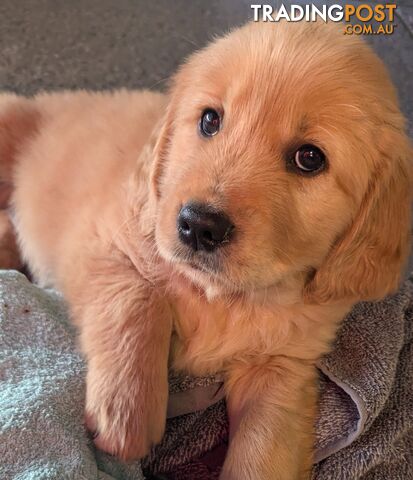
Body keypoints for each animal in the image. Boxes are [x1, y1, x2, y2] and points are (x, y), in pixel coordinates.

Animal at [0, 20, 410, 478]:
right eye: (210, 120)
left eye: (309, 158)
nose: (198, 225)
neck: (221, 296)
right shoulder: (107, 241)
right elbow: (137, 301)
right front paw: (125, 417)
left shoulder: (282, 365)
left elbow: (263, 448)